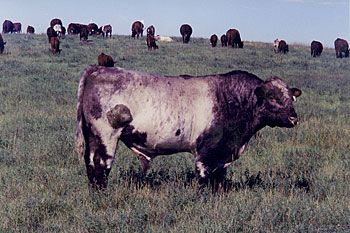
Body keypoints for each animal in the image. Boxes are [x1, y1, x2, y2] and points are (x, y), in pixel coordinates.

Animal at [76, 65, 300, 189]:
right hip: (106, 136)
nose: (294, 118)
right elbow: (204, 178)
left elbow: (218, 179)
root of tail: (99, 69)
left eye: (291, 98)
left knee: (91, 163)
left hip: (93, 136)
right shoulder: (207, 152)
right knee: (101, 165)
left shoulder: (222, 155)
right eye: (273, 98)